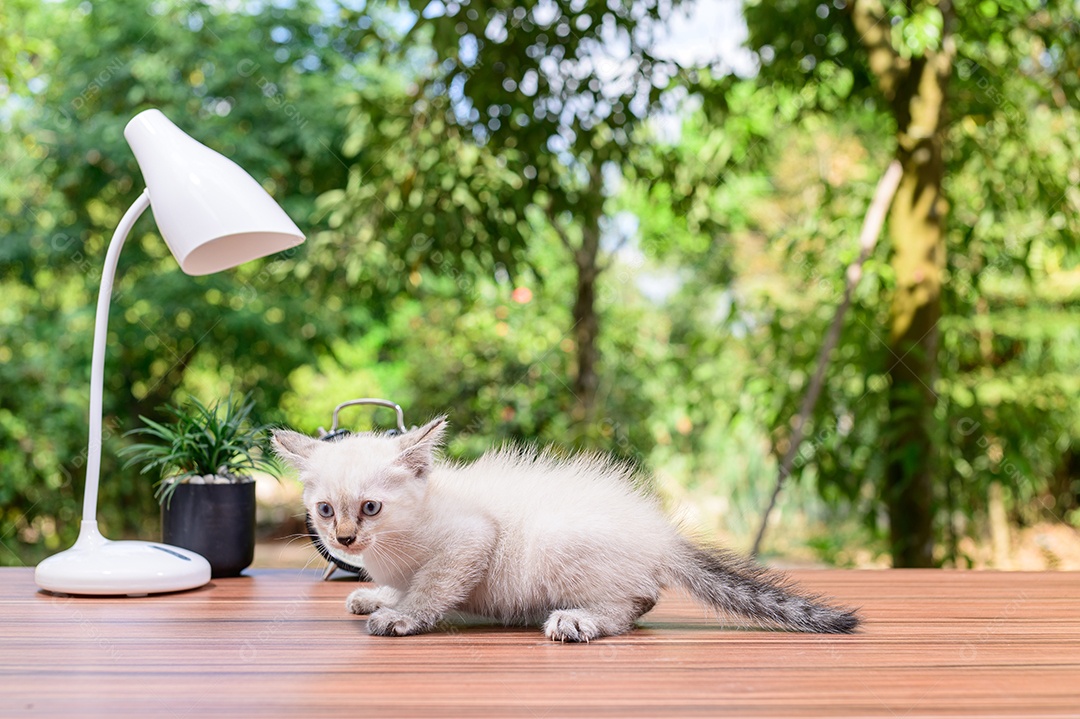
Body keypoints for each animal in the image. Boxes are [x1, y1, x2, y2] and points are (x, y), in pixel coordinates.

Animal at [272, 414, 859, 639]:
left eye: (370, 508)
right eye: (326, 510)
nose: (345, 540)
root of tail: (659, 533)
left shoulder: (471, 538)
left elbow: (432, 586)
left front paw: (401, 615)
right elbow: (400, 584)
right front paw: (376, 596)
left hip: (557, 542)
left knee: (634, 603)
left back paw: (578, 621)